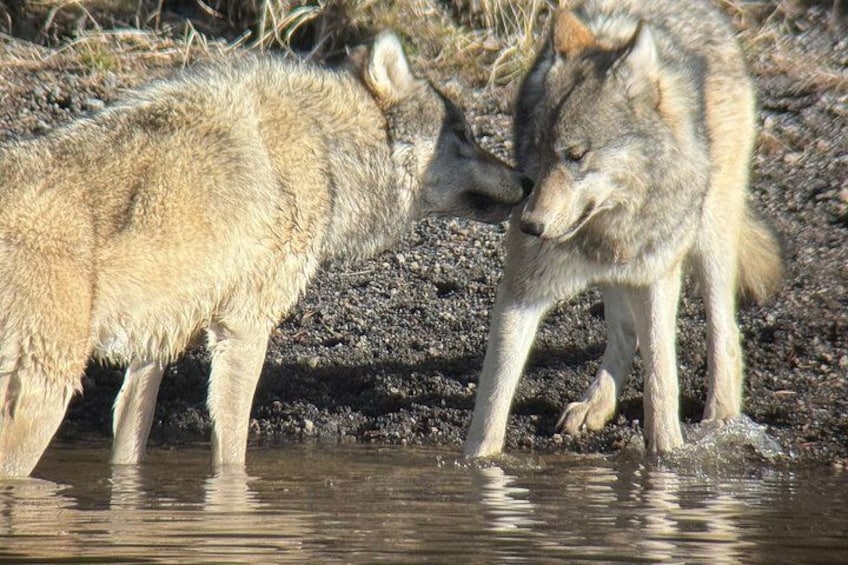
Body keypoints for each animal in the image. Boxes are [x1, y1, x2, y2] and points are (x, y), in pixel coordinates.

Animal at [0, 31, 531, 478]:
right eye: (463, 135)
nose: (527, 180)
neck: (326, 145)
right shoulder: (244, 326)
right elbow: (232, 448)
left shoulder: (155, 346)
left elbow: (130, 446)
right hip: (45, 398)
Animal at [464, 0, 782, 458]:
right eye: (537, 152)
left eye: (576, 155)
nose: (529, 225)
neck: (609, 226)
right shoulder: (521, 292)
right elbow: (491, 401)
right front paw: (479, 465)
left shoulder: (656, 278)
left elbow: (662, 379)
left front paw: (668, 456)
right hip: (617, 275)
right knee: (622, 332)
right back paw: (596, 405)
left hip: (708, 238)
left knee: (724, 333)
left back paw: (721, 417)